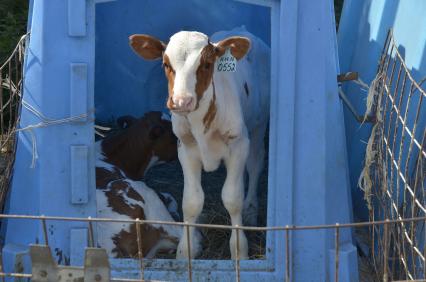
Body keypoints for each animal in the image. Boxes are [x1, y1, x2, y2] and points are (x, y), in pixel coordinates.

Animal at [129, 27, 270, 258]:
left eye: (206, 64)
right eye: (166, 64)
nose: (181, 101)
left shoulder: (239, 145)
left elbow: (232, 198)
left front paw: (239, 250)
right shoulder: (185, 149)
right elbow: (192, 201)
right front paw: (185, 251)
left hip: (259, 124)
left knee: (255, 164)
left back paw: (250, 210)